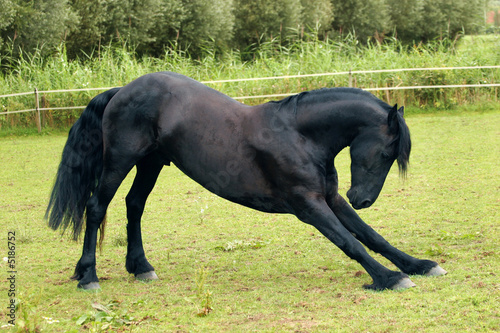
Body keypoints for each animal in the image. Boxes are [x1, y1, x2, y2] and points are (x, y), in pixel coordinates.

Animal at [46, 70, 446, 290]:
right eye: (386, 152)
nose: (363, 198)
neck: (299, 136)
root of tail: (121, 91)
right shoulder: (309, 206)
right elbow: (350, 242)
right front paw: (390, 278)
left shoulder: (331, 199)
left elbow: (371, 236)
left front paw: (419, 265)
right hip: (120, 160)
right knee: (97, 207)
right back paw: (89, 276)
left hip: (152, 162)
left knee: (134, 206)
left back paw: (140, 267)